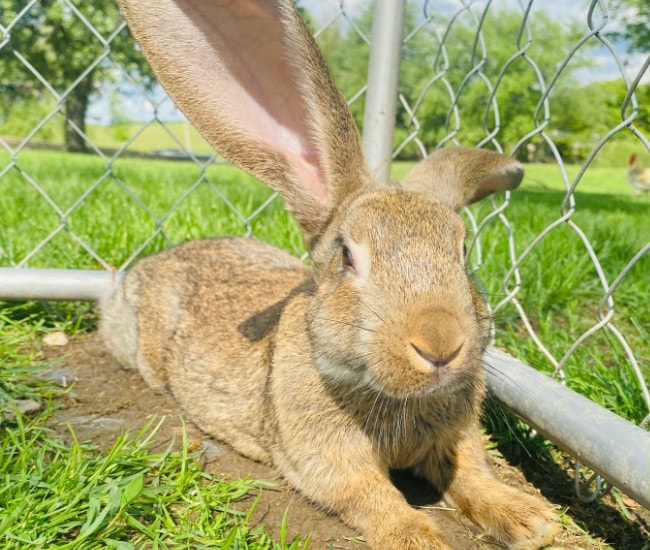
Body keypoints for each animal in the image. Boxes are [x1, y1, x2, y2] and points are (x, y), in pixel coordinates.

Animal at [100, 2, 552, 548]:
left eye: (461, 251)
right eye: (348, 257)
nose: (441, 345)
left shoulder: (456, 438)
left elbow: (470, 473)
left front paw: (530, 520)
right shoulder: (329, 461)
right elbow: (371, 495)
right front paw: (418, 536)